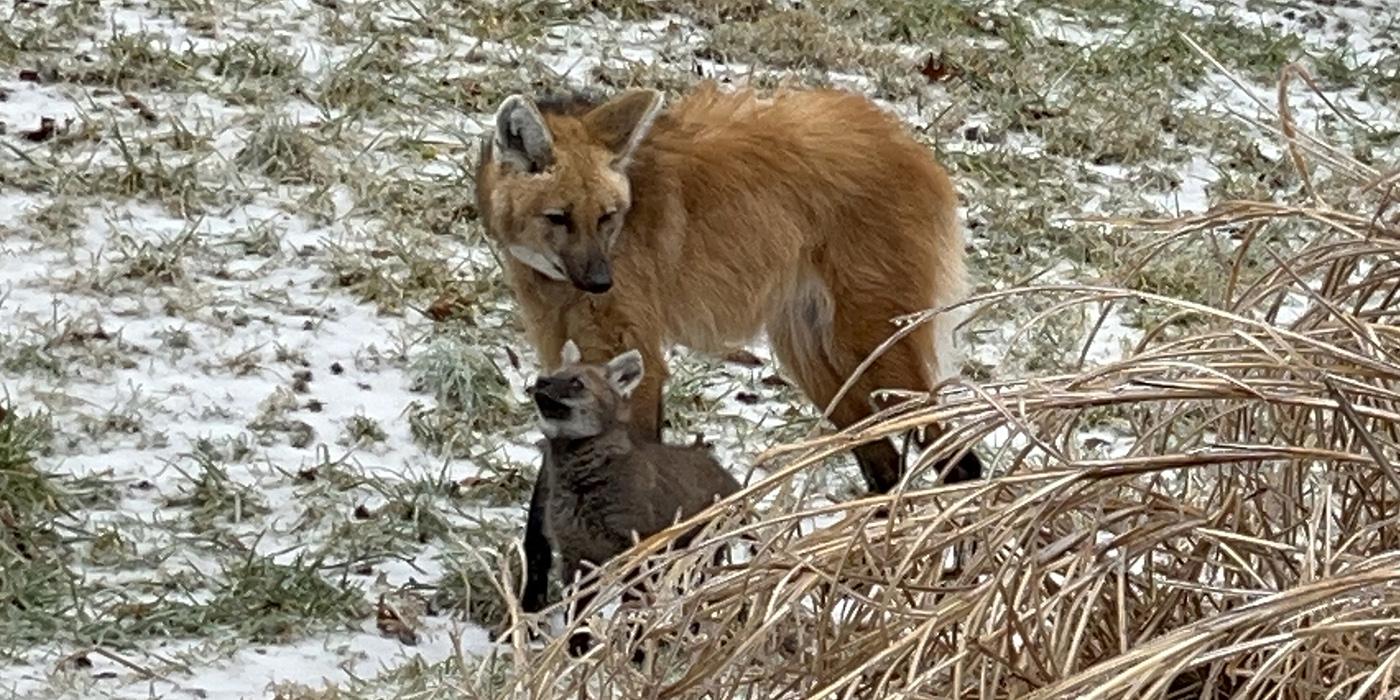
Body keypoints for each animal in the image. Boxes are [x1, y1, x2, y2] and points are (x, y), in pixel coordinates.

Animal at [476, 79, 991, 610]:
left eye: (607, 217)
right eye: (558, 218)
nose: (601, 282)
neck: (553, 279)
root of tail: (914, 148)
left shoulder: (632, 354)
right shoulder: (562, 357)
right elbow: (543, 498)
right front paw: (531, 600)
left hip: (873, 348)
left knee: (960, 462)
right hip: (818, 360)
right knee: (885, 464)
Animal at [526, 341, 744, 658]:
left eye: (577, 383)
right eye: (554, 374)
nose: (540, 382)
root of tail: (731, 479)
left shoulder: (637, 551)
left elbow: (633, 610)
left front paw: (635, 655)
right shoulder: (575, 554)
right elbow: (578, 614)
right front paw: (576, 653)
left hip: (697, 557)